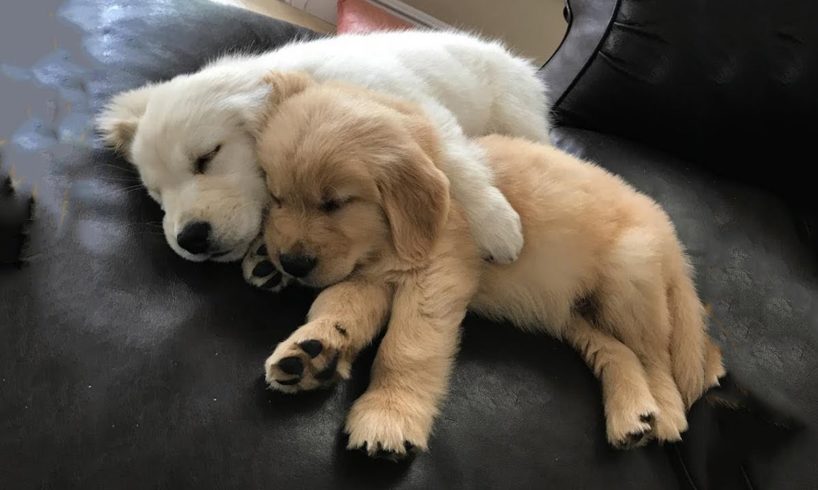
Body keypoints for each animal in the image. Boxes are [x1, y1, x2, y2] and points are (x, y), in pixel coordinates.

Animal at [97, 30, 548, 282]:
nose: (189, 239)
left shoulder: (422, 112)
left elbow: (456, 163)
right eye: (157, 194)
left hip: (517, 112)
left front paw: (496, 225)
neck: (301, 84)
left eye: (207, 157)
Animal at [253, 73, 720, 460]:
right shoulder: (371, 275)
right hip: (572, 312)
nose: (291, 264)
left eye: (334, 204)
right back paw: (633, 415)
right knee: (618, 351)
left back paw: (666, 412)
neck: (385, 240)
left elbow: (408, 346)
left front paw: (389, 415)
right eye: (275, 197)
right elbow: (338, 306)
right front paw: (313, 350)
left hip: (628, 279)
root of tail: (670, 235)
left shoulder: (438, 273)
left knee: (657, 356)